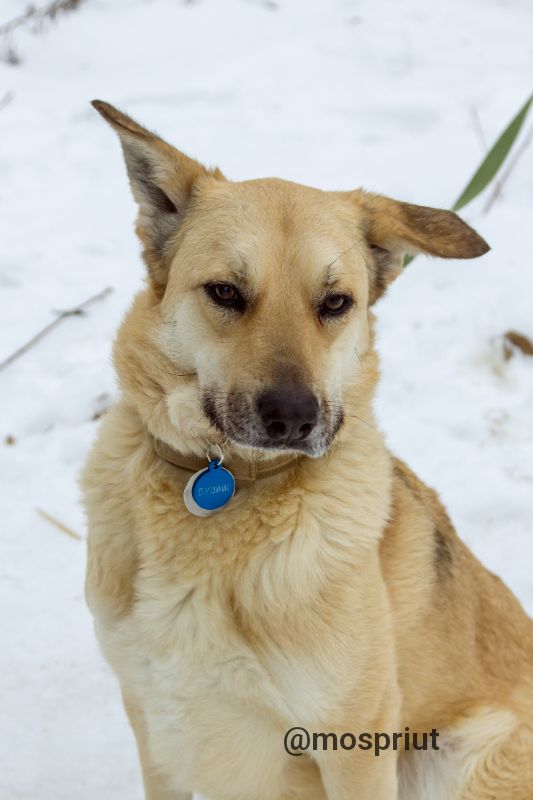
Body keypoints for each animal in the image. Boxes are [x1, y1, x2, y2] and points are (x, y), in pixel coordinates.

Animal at [82, 101, 532, 800]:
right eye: (226, 292)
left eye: (336, 302)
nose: (294, 418)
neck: (229, 484)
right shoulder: (155, 727)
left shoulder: (356, 738)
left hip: (457, 755)